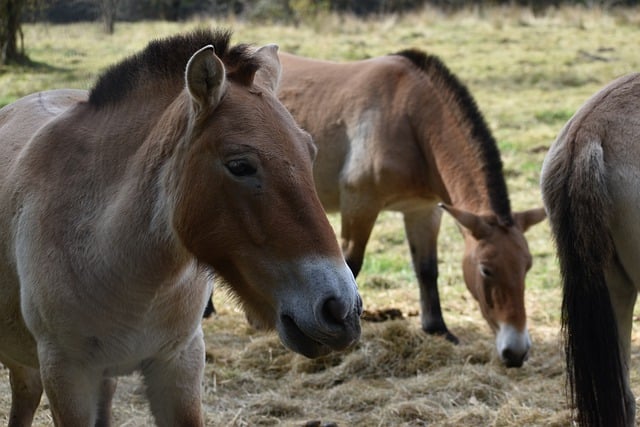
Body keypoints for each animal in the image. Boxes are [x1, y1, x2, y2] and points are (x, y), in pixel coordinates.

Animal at [276, 50, 544, 370]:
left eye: (527, 266)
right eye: (486, 270)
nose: (516, 353)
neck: (410, 119)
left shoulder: (424, 211)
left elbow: (427, 269)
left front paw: (438, 329)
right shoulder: (360, 203)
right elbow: (351, 265)